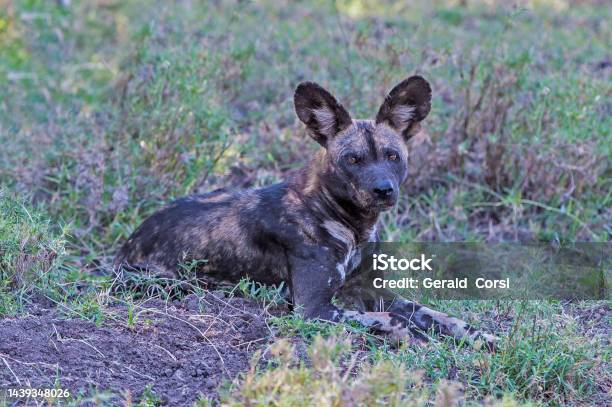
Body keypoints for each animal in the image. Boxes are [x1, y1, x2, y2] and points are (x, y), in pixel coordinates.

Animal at [113, 76, 498, 350]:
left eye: (393, 156)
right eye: (353, 159)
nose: (383, 190)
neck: (353, 226)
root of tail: (131, 239)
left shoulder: (375, 291)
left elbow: (441, 316)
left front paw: (482, 338)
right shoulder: (314, 308)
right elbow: (394, 319)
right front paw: (417, 340)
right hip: (168, 283)